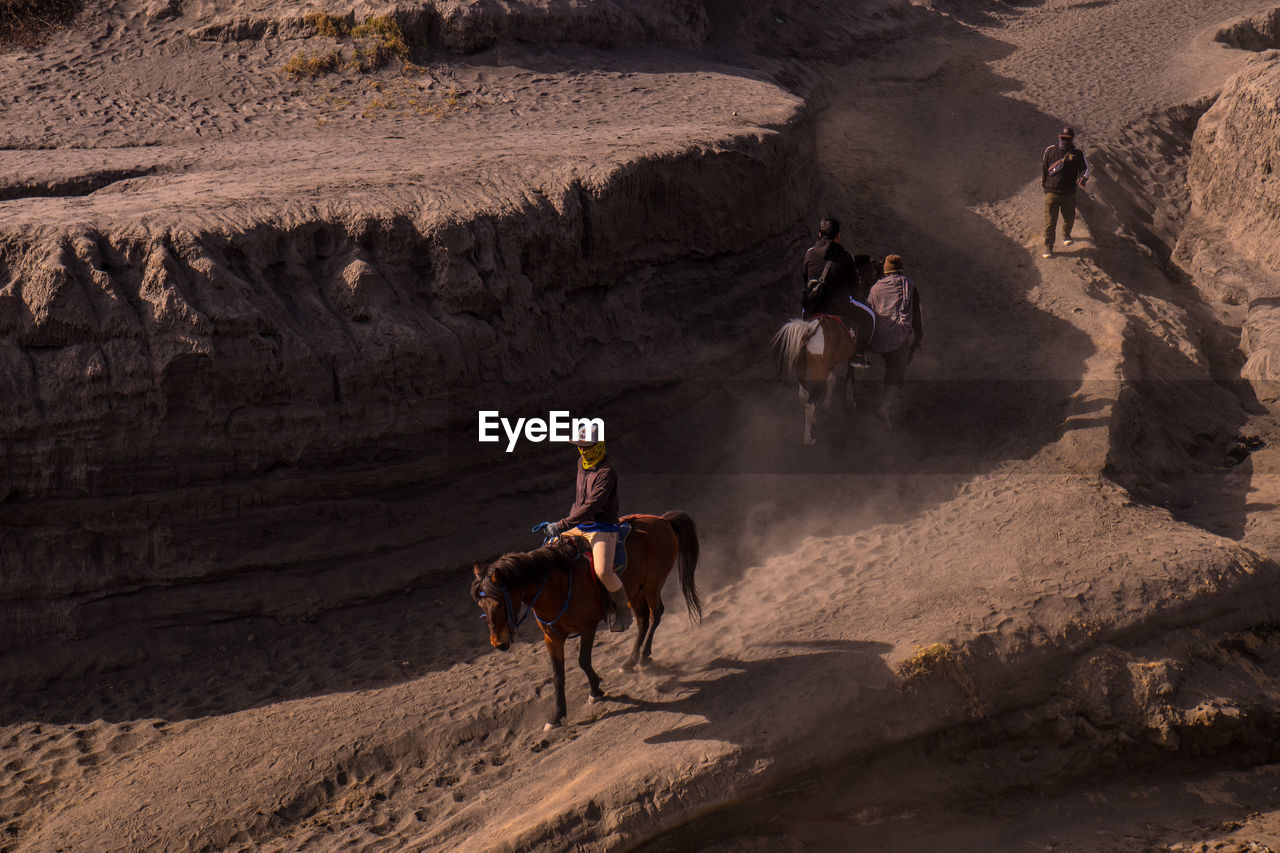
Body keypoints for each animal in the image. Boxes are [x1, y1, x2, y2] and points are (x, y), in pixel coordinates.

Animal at [476, 507, 706, 727]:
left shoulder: (588, 627)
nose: (498, 643)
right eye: (481, 605)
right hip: (634, 590)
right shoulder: (552, 637)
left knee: (656, 615)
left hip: (651, 585)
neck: (556, 586)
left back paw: (643, 657)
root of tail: (663, 520)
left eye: (498, 604)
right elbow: (557, 675)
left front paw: (595, 691)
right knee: (642, 619)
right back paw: (630, 662)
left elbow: (583, 661)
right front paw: (557, 716)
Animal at [773, 313, 855, 445]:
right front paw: (849, 401)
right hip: (818, 375)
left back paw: (813, 420)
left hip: (801, 367)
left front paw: (827, 405)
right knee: (809, 404)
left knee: (803, 395)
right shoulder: (853, 356)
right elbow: (849, 377)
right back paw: (808, 438)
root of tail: (809, 330)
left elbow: (832, 380)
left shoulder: (830, 365)